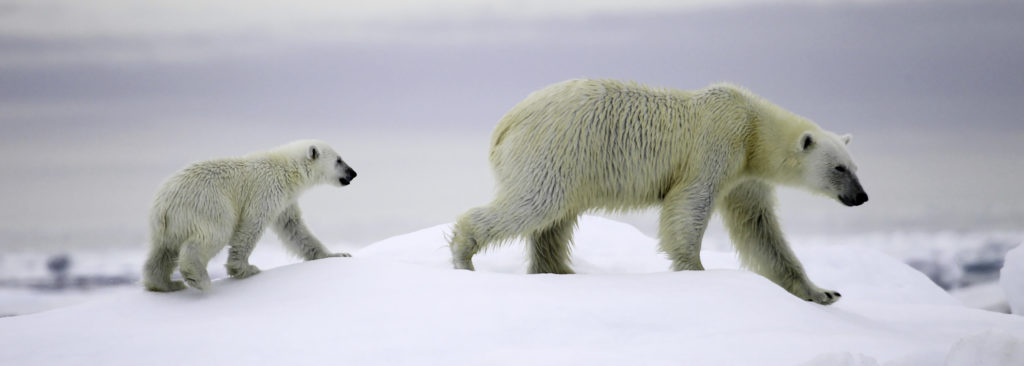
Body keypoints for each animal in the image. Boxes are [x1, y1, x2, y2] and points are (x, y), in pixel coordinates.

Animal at [144, 139, 358, 291]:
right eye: (339, 159)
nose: (353, 173)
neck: (286, 169)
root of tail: (164, 205)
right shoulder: (267, 190)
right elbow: (252, 224)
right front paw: (245, 268)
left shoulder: (285, 201)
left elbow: (294, 228)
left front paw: (337, 254)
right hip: (207, 205)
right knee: (214, 234)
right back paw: (198, 278)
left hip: (167, 225)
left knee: (162, 251)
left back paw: (165, 284)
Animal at [452, 78, 868, 303]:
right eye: (839, 168)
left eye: (855, 166)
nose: (862, 197)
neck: (754, 129)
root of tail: (505, 124)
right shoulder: (716, 145)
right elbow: (689, 204)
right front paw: (695, 270)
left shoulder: (745, 176)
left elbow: (759, 228)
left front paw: (823, 293)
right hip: (557, 150)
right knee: (537, 204)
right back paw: (463, 255)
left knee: (554, 223)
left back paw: (560, 271)